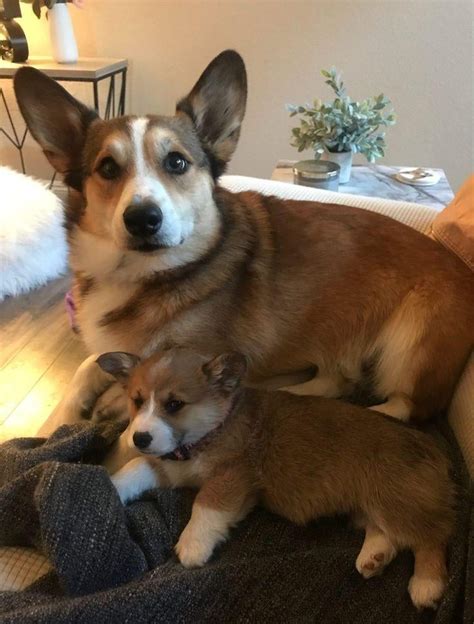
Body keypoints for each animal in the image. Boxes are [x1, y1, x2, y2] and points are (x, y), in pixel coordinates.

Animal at [12, 48, 472, 420]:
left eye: (176, 162)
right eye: (107, 168)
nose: (143, 219)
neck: (144, 276)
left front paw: (114, 401)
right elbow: (85, 368)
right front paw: (65, 415)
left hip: (410, 347)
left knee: (400, 409)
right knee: (335, 382)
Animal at [96, 348, 456, 612]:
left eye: (174, 404)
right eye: (137, 401)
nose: (139, 438)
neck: (206, 436)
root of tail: (431, 446)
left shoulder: (233, 476)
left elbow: (205, 504)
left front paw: (192, 545)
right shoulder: (170, 468)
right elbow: (137, 467)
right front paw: (114, 484)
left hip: (394, 500)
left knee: (431, 537)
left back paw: (426, 585)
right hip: (371, 505)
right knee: (385, 532)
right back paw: (373, 557)